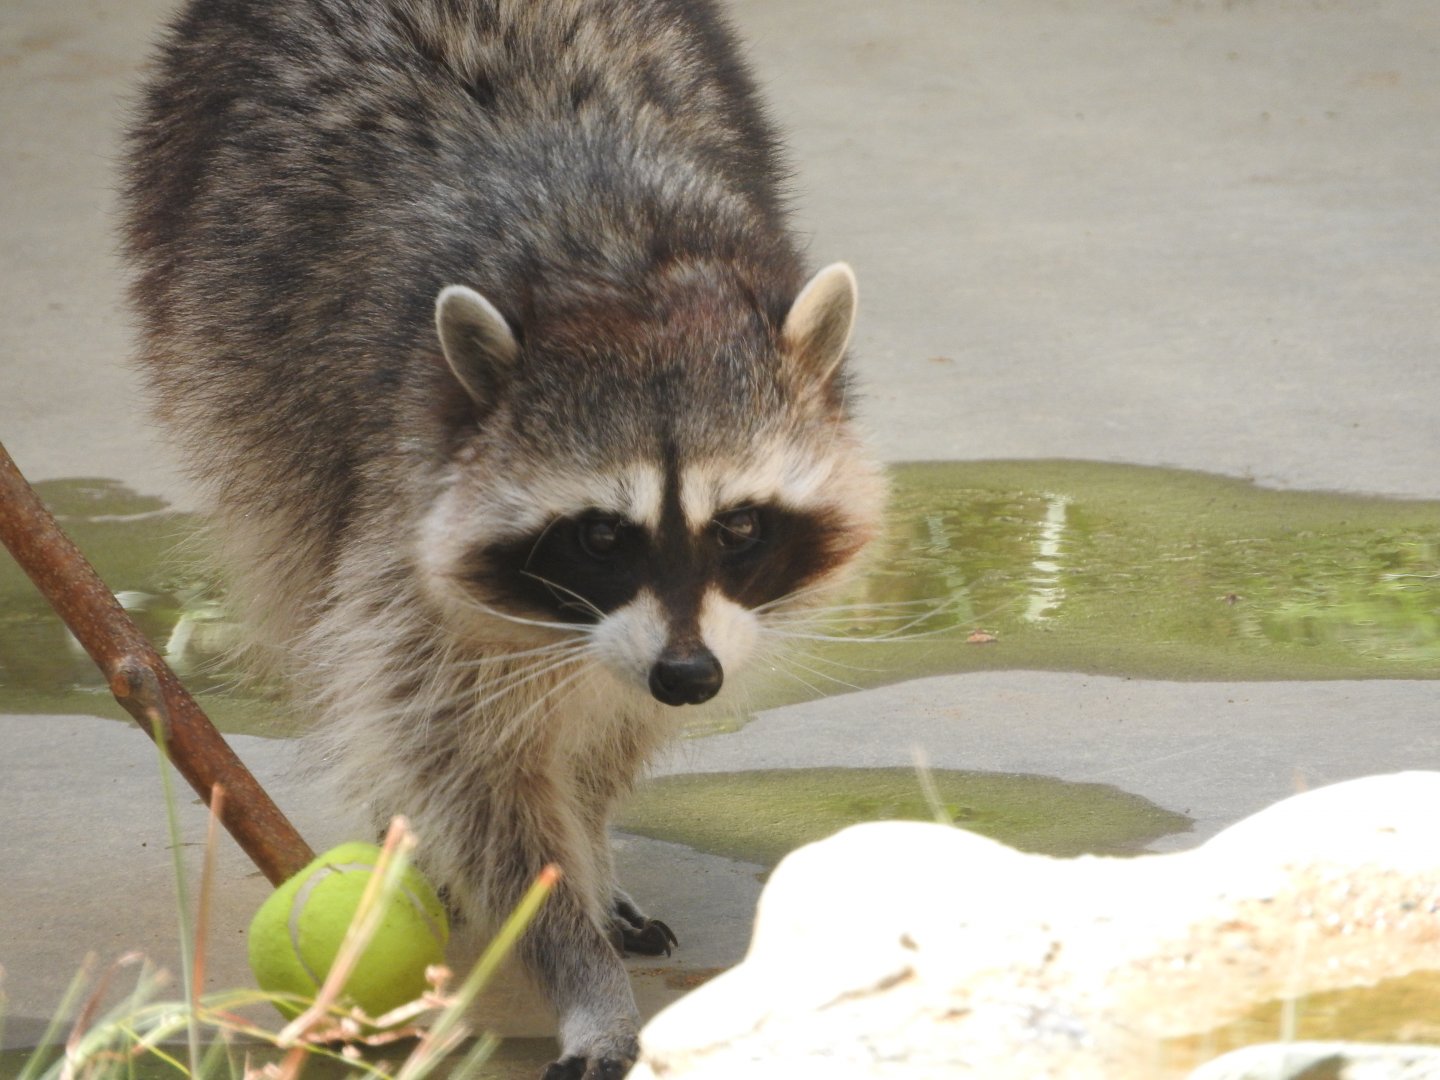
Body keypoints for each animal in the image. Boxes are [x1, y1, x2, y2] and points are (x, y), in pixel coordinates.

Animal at [123, 0, 884, 1075]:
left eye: (738, 525)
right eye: (601, 535)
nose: (689, 678)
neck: (620, 276)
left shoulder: (679, 634)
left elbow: (608, 730)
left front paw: (590, 841)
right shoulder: (402, 500)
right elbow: (463, 760)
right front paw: (575, 965)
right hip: (226, 324)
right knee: (300, 568)